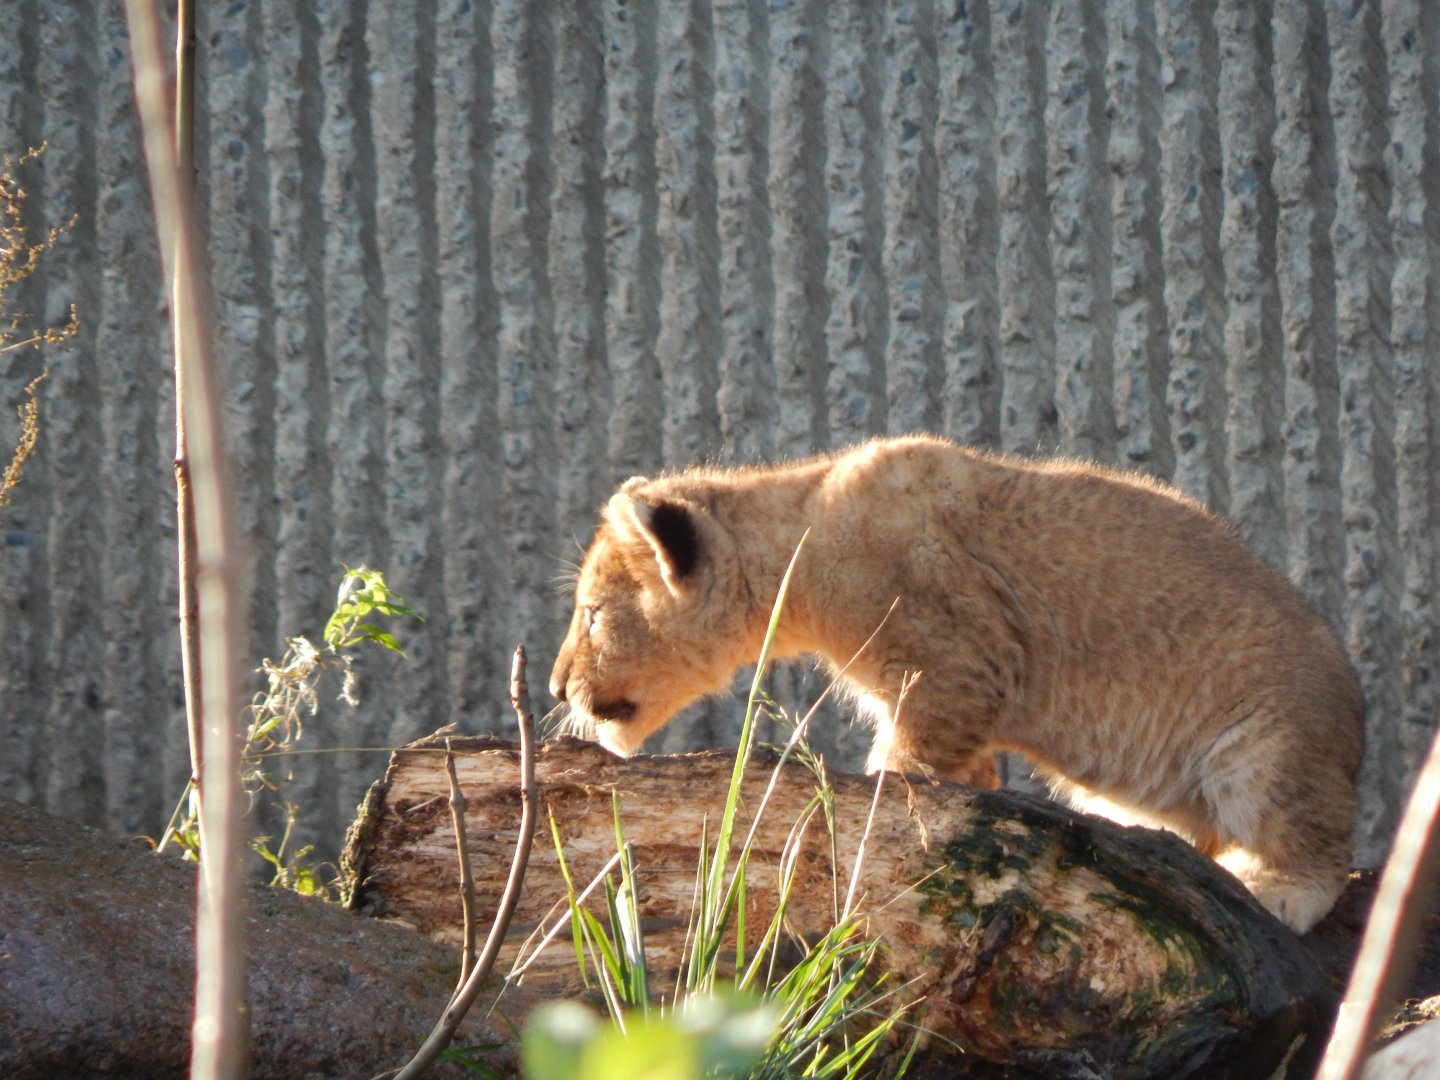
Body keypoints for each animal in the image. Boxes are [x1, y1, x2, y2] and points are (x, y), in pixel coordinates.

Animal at [550, 434, 1364, 932]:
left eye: (591, 615)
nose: (555, 691)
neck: (800, 537)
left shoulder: (956, 664)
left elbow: (905, 767)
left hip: (1269, 744)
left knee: (1310, 844)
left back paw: (1272, 888)